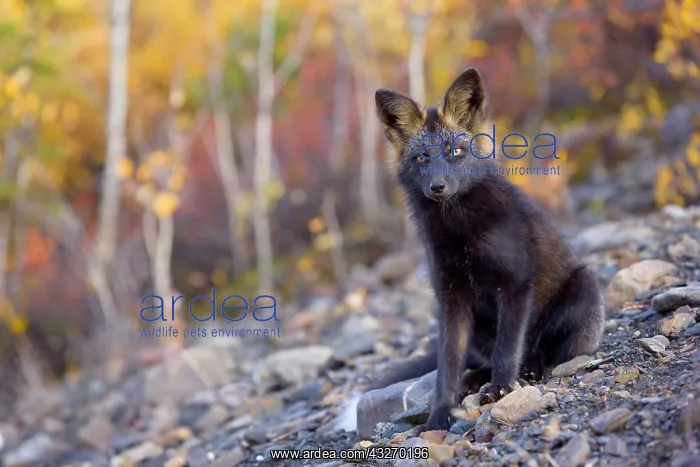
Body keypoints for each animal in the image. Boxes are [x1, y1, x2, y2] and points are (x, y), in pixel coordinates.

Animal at [367, 68, 606, 432]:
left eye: (455, 152)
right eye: (422, 157)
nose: (438, 187)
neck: (460, 234)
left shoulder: (516, 284)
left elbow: (508, 348)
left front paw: (503, 389)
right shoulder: (451, 300)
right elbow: (447, 369)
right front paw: (439, 416)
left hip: (582, 292)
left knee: (542, 351)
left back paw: (528, 371)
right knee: (480, 361)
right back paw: (475, 379)